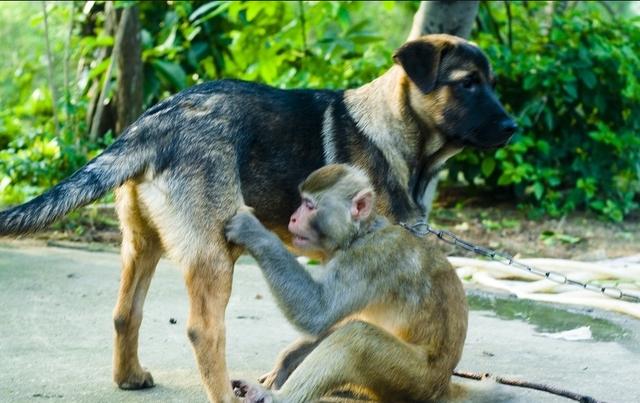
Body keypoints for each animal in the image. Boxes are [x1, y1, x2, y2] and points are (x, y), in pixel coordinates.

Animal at [225, 165, 470, 403]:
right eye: (302, 202)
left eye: (309, 205)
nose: (293, 218)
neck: (361, 234)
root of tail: (443, 383)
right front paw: (286, 361)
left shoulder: (371, 259)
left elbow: (317, 312)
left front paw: (253, 231)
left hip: (416, 380)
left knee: (358, 338)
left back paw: (277, 398)